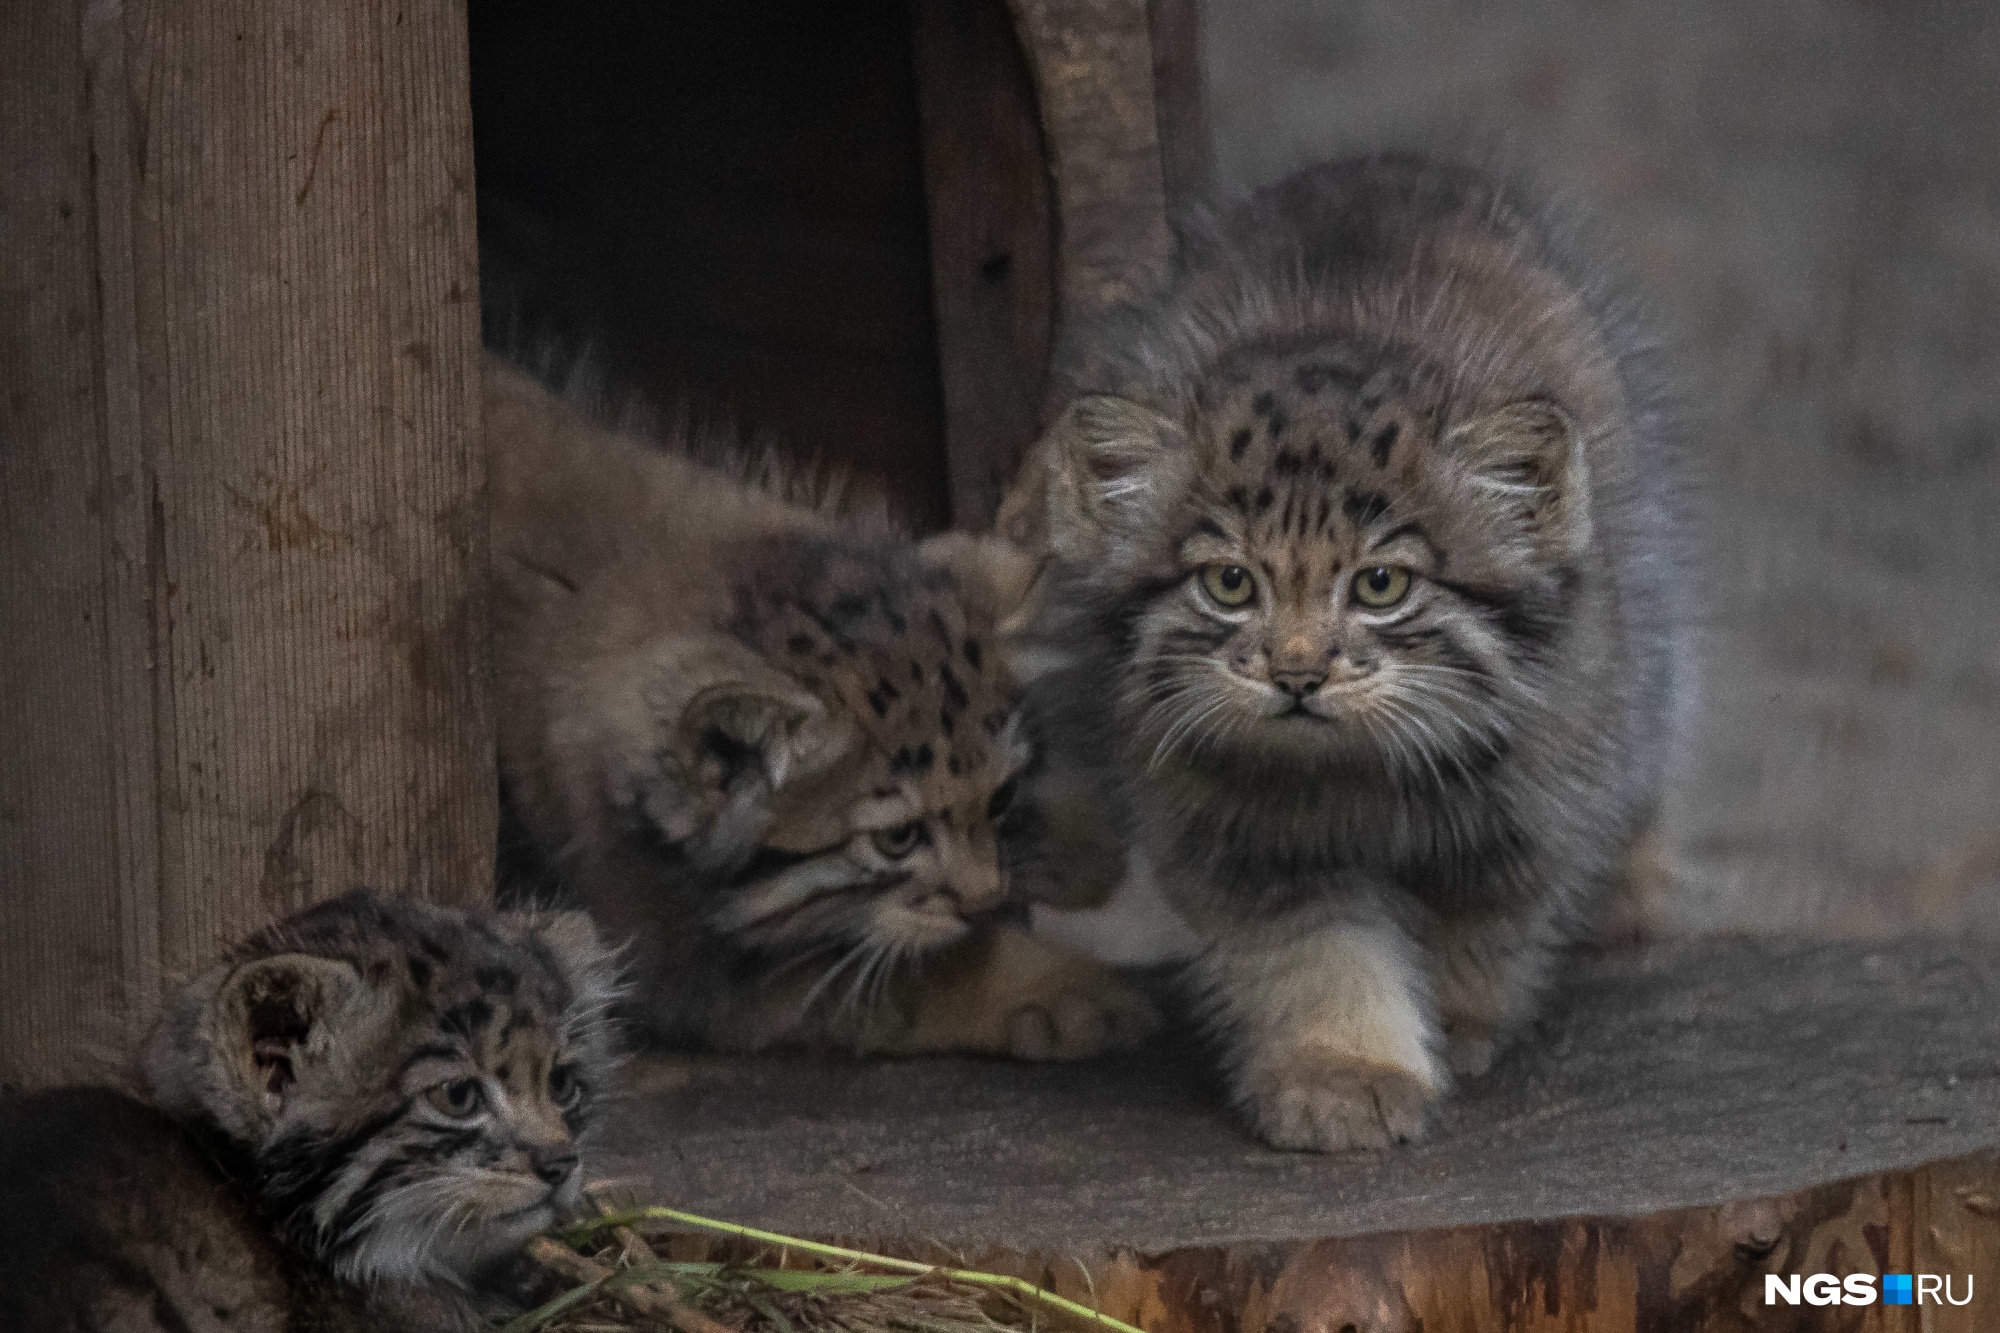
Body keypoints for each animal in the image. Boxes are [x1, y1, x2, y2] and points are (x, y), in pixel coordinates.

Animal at [1016, 153, 1688, 1152]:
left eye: (1379, 586)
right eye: (1230, 584)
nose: (1297, 672)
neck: (1355, 772)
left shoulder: (1533, 798)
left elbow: (1481, 925)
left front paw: (1454, 1025)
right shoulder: (1239, 837)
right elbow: (1314, 952)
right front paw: (1343, 1072)